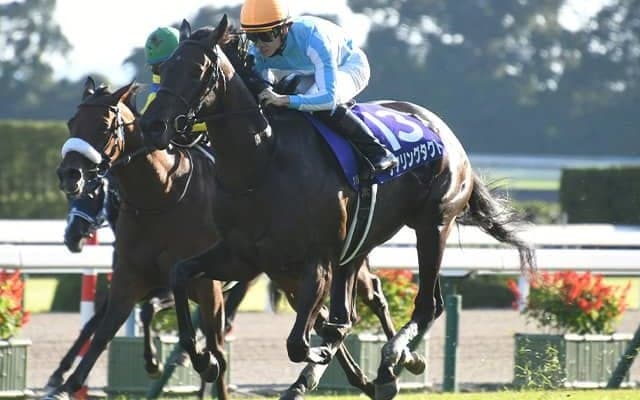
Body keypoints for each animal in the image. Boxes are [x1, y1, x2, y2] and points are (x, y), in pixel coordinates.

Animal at [54, 77, 421, 400]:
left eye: (104, 126)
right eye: (72, 123)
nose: (70, 175)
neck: (162, 198)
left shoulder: (207, 286)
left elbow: (214, 347)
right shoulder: (131, 279)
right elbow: (100, 334)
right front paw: (64, 382)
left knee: (373, 295)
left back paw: (403, 359)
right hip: (288, 275)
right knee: (321, 322)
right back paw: (357, 378)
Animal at [139, 16, 536, 400]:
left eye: (196, 70)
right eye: (165, 70)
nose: (152, 126)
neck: (262, 162)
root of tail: (444, 131)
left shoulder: (315, 260)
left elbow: (300, 342)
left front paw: (318, 359)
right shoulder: (243, 256)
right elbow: (179, 273)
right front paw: (204, 360)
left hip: (432, 223)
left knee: (426, 305)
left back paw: (390, 362)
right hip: (358, 245)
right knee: (359, 310)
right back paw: (382, 367)